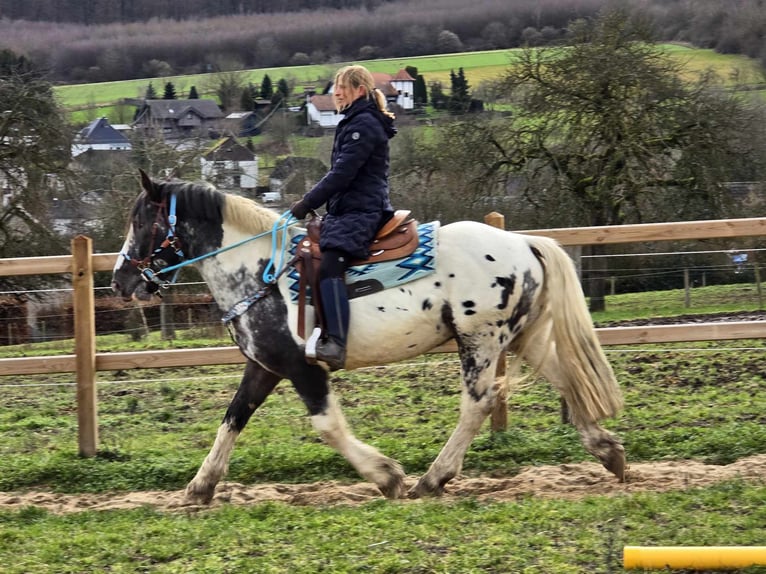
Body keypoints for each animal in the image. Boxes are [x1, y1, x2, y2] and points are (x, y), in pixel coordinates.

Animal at [111, 170, 628, 504]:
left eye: (140, 221)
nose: (120, 280)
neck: (259, 271)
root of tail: (523, 242)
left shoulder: (302, 367)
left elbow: (327, 426)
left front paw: (387, 476)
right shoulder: (263, 366)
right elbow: (233, 419)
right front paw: (200, 487)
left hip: (479, 340)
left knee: (477, 405)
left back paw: (433, 480)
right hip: (524, 337)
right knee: (566, 378)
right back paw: (609, 453)